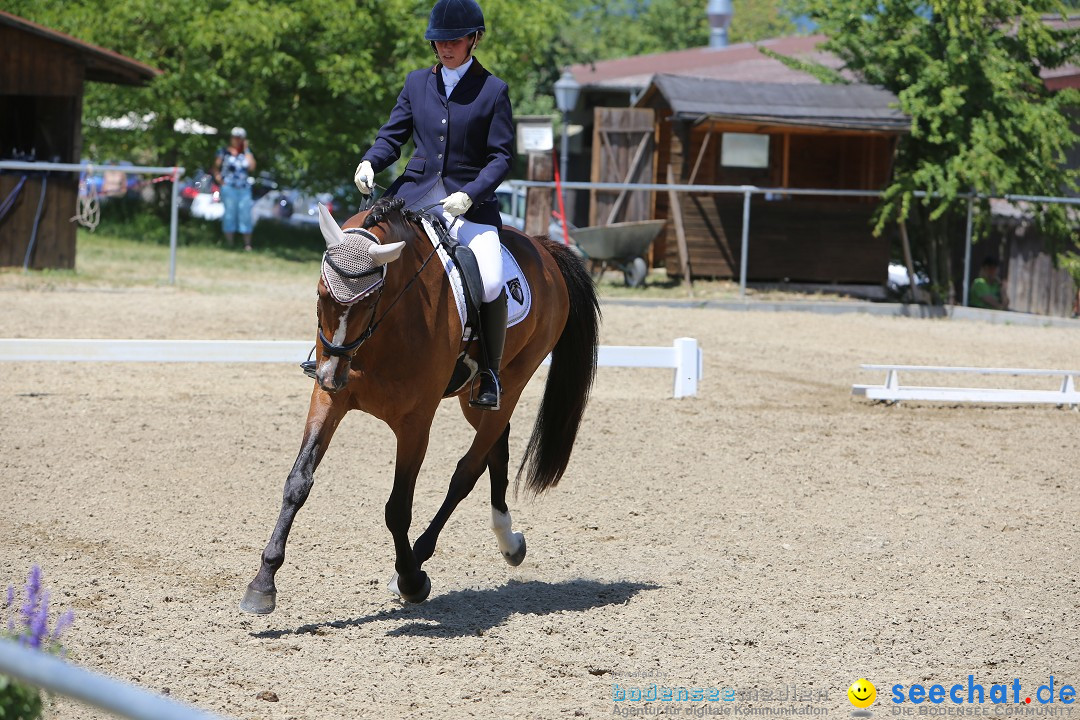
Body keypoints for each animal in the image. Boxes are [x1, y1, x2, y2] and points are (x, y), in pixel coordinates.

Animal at [237, 198, 604, 613]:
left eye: (370, 301)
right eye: (320, 295)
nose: (330, 374)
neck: (384, 329)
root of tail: (543, 247)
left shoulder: (415, 424)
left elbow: (397, 508)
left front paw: (411, 580)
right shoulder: (329, 400)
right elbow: (298, 482)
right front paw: (263, 583)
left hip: (512, 383)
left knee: (467, 469)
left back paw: (421, 556)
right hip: (471, 399)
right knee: (496, 448)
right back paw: (509, 541)